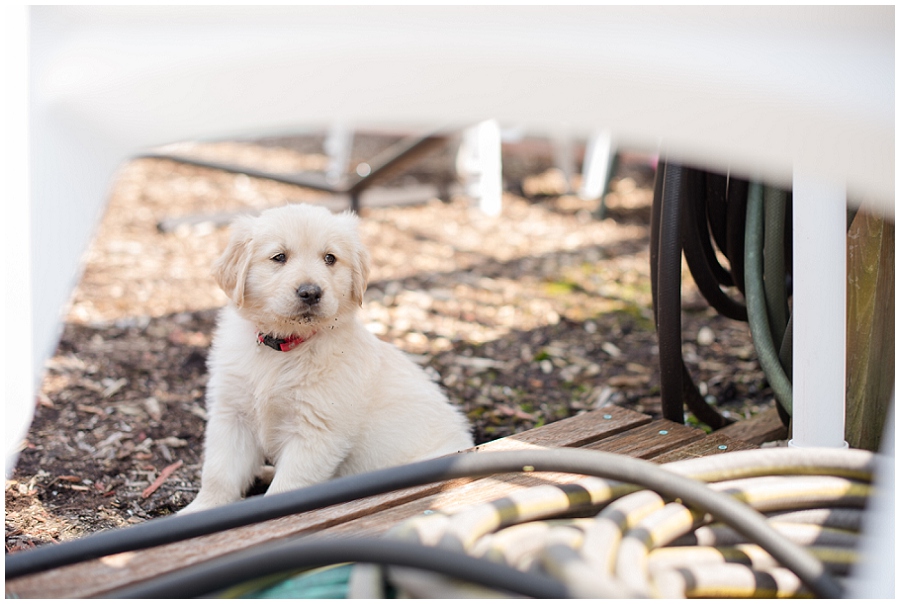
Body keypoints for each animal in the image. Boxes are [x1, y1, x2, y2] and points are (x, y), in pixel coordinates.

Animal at [181, 204, 472, 516]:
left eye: (330, 258)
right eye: (279, 257)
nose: (310, 292)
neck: (283, 348)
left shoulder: (317, 431)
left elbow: (287, 488)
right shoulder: (231, 416)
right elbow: (219, 473)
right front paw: (201, 510)